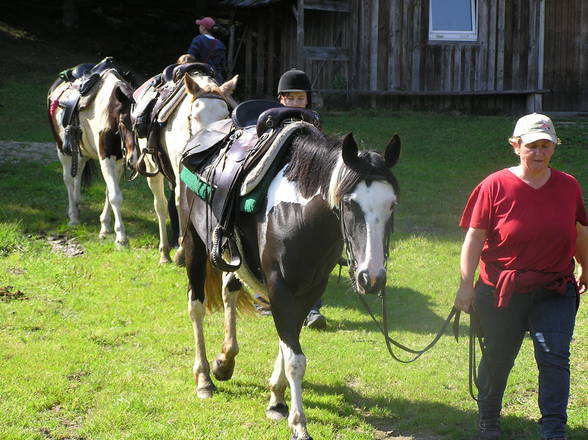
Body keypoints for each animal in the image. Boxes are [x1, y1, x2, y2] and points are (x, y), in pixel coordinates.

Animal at [47, 61, 138, 248]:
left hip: (80, 151)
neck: (110, 112)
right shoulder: (106, 158)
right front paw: (121, 237)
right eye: (123, 122)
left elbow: (109, 192)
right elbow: (115, 196)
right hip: (62, 148)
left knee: (77, 175)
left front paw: (105, 227)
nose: (133, 160)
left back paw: (77, 206)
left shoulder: (118, 160)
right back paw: (73, 217)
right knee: (68, 179)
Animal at [136, 71, 239, 262]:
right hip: (152, 168)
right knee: (160, 205)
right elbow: (179, 201)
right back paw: (165, 252)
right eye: (194, 117)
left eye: (225, 117)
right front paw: (182, 252)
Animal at [179, 126, 400, 440]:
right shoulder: (279, 287)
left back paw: (225, 362)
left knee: (229, 291)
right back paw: (205, 379)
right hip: (194, 244)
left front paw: (276, 399)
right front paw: (298, 423)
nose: (372, 277)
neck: (299, 216)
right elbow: (295, 357)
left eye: (392, 204)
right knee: (196, 306)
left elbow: (289, 341)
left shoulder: (309, 290)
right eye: (349, 203)